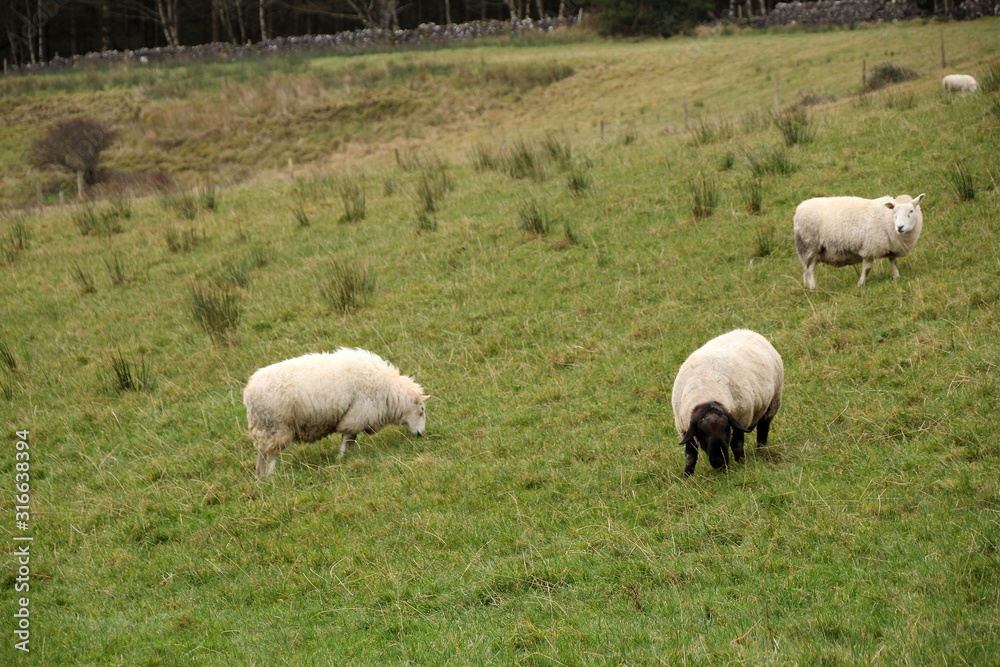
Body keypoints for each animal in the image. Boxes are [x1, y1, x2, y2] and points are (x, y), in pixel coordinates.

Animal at [247, 348, 430, 478]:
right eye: (421, 410)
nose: (420, 434)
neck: (389, 391)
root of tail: (248, 390)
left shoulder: (357, 417)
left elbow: (351, 439)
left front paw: (351, 455)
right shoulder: (356, 414)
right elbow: (346, 437)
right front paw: (341, 458)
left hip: (262, 426)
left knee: (261, 452)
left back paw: (260, 476)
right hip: (274, 425)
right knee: (271, 455)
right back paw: (271, 475)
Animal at [668, 328, 784, 474]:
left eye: (726, 429)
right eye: (702, 433)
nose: (720, 463)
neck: (705, 394)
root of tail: (746, 330)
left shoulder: (741, 419)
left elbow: (737, 444)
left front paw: (741, 462)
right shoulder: (685, 429)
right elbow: (690, 455)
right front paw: (687, 474)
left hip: (773, 402)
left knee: (763, 429)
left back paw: (760, 451)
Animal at [792, 192, 924, 288]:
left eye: (911, 211)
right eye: (894, 211)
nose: (900, 227)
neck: (887, 219)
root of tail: (800, 208)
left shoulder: (891, 247)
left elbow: (893, 262)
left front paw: (896, 277)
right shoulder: (870, 248)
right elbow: (866, 269)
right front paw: (860, 284)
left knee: (806, 271)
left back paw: (808, 287)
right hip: (809, 246)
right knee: (810, 270)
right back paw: (814, 288)